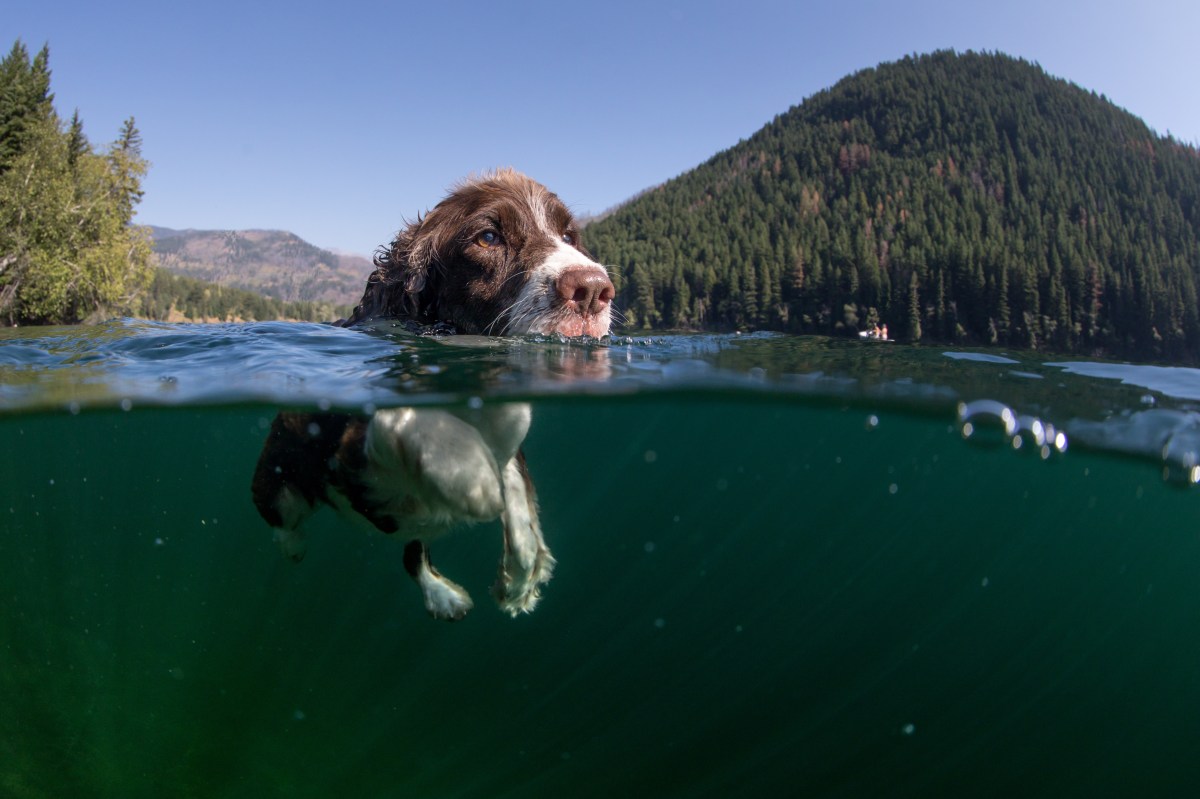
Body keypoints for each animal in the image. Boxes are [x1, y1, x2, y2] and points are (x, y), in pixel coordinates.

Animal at [249, 166, 614, 614]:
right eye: (488, 237)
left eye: (568, 236)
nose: (593, 289)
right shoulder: (353, 448)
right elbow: (411, 422)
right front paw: (476, 484)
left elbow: (516, 486)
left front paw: (520, 579)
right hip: (278, 472)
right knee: (283, 514)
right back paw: (295, 546)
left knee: (412, 550)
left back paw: (444, 597)